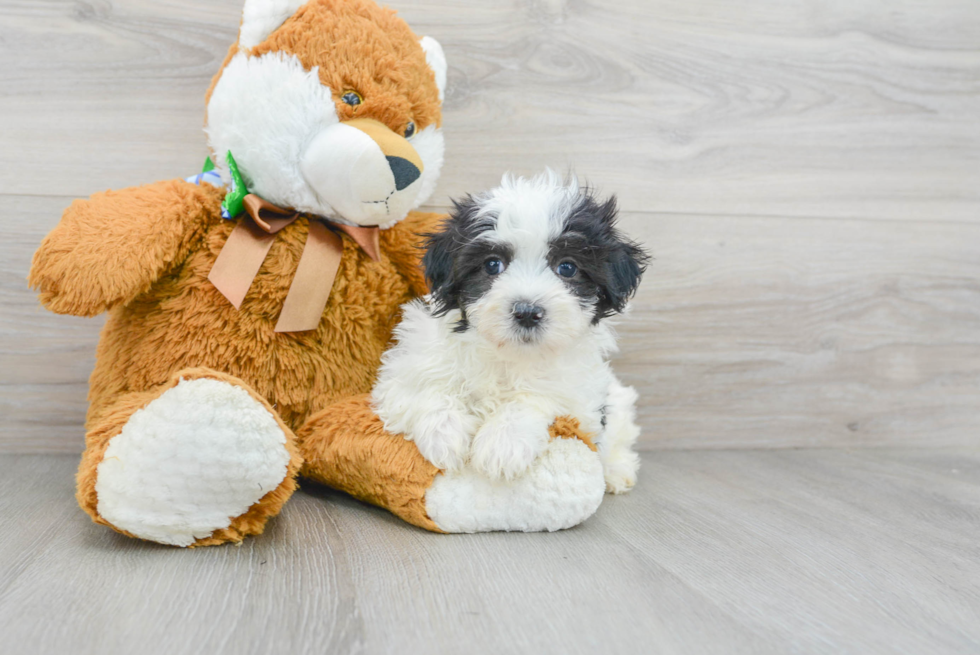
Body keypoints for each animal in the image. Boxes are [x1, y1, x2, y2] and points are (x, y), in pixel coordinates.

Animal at [372, 169, 648, 492]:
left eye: (567, 267)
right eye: (493, 264)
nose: (527, 312)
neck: (507, 354)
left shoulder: (578, 396)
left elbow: (536, 397)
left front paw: (503, 444)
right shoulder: (407, 368)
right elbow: (427, 387)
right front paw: (444, 434)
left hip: (617, 401)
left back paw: (616, 471)